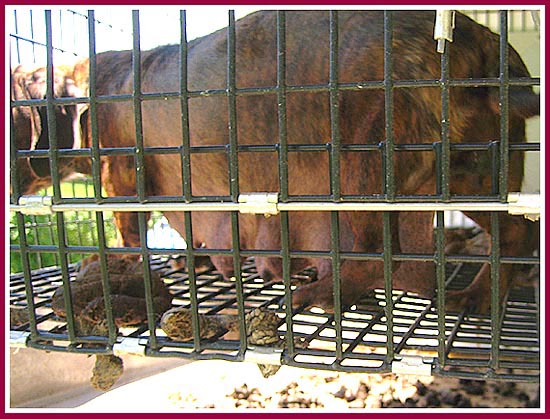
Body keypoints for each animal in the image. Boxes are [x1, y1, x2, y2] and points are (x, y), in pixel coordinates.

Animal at [10, 10, 540, 312]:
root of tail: (480, 44)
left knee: (374, 255)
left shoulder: (122, 182)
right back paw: (480, 296)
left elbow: (127, 233)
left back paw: (321, 293)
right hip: (476, 174)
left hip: (360, 163)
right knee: (513, 234)